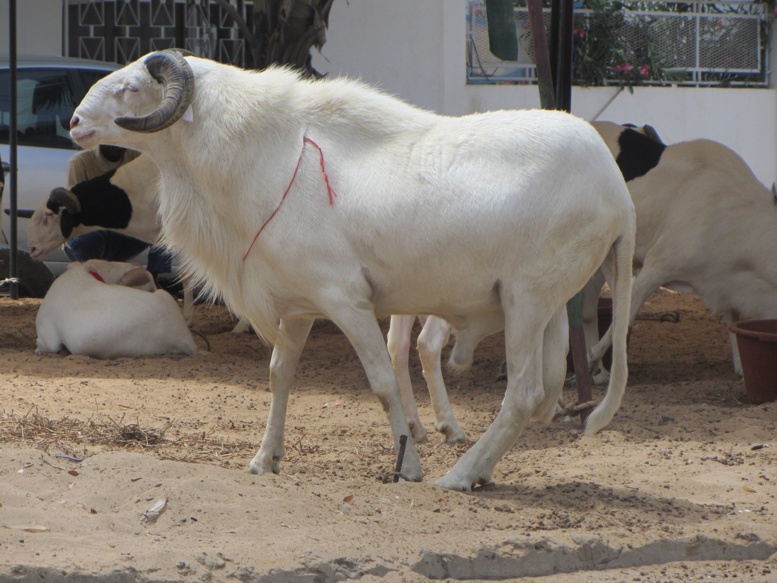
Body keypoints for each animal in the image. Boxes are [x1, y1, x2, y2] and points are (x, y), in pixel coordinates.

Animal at [68, 51, 635, 490]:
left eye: (131, 87)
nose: (73, 122)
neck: (267, 154)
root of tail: (617, 188)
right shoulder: (298, 307)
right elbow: (278, 376)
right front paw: (265, 459)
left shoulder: (346, 300)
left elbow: (383, 383)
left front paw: (409, 467)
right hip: (549, 308)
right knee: (540, 391)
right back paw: (479, 469)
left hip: (527, 301)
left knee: (521, 396)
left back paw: (457, 475)